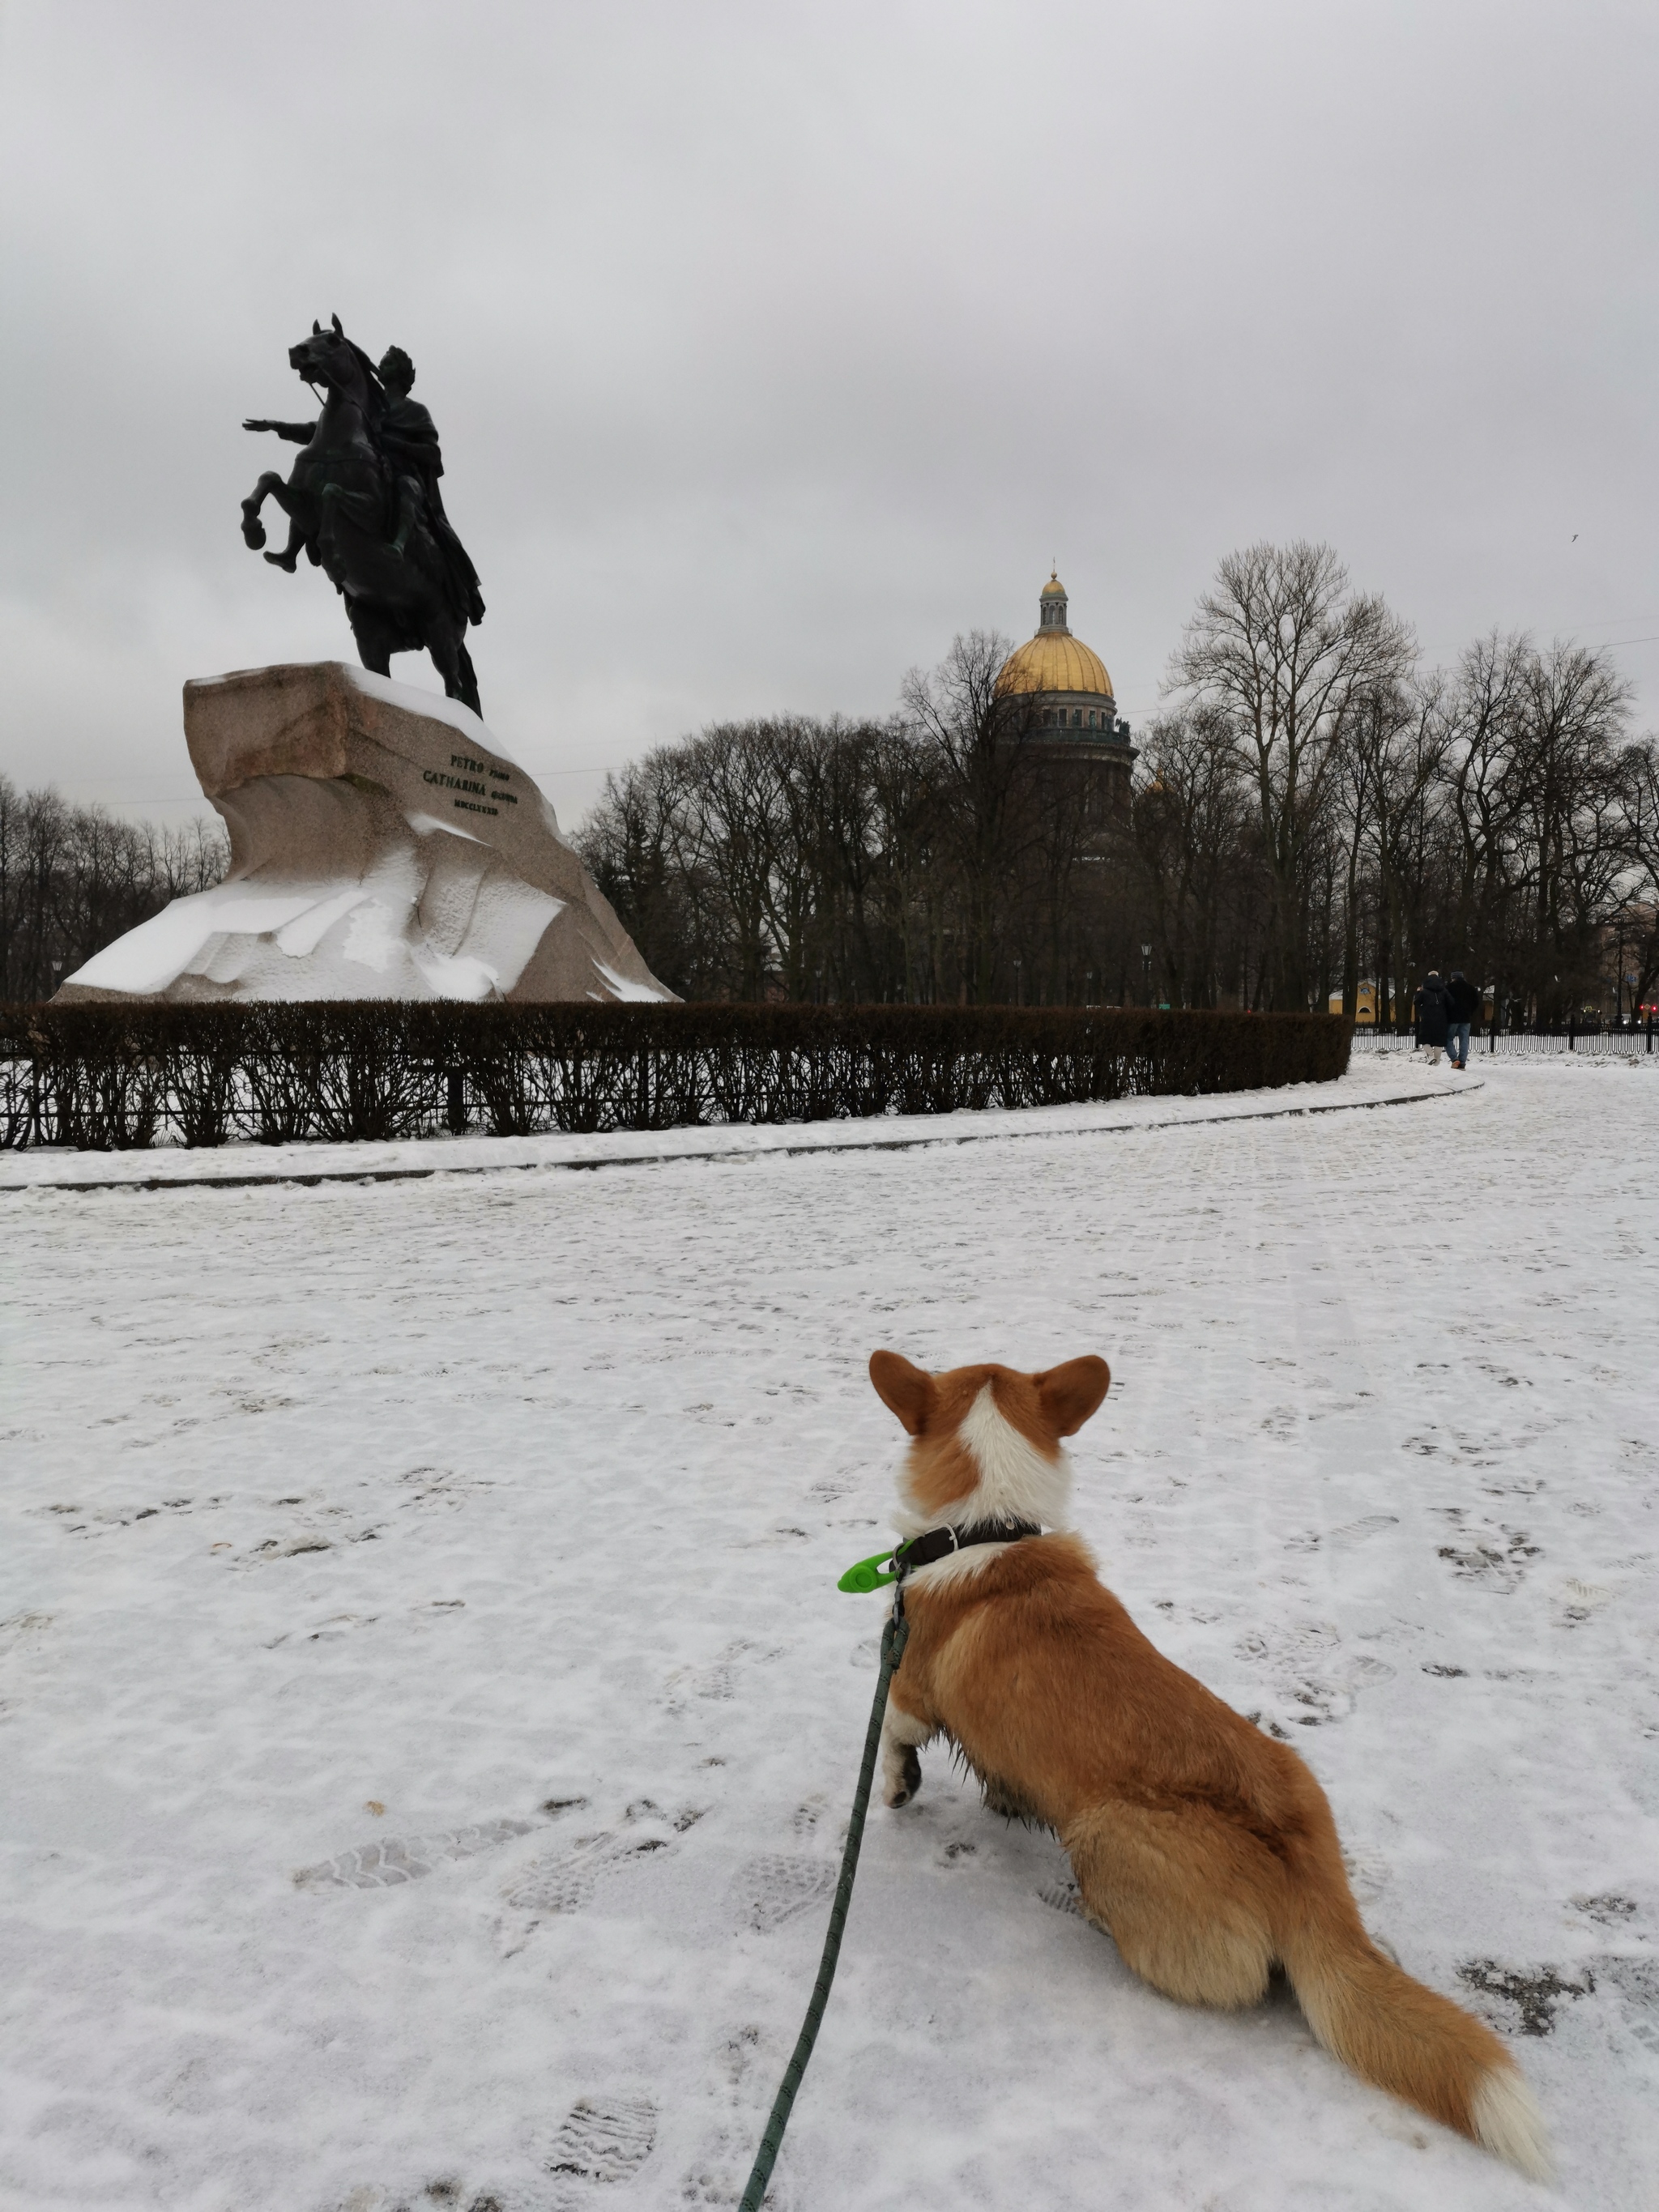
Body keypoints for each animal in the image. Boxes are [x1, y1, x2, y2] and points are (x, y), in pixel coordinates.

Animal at [876, 1345, 1557, 2176]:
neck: (986, 1527)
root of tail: (1310, 1882)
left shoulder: (909, 1685)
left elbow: (893, 1732)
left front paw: (897, 1785)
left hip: (1102, 1832)